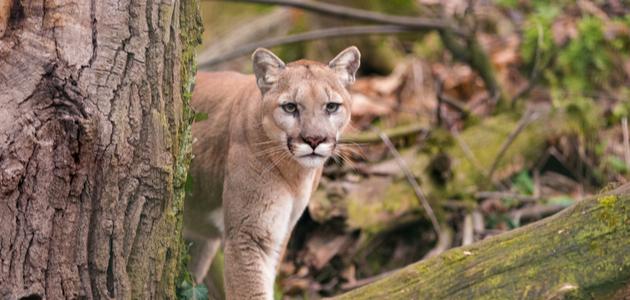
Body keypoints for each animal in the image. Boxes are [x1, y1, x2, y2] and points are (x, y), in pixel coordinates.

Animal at [185, 47, 360, 300]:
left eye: (331, 106)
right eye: (290, 107)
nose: (314, 140)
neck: (296, 174)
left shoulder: (280, 232)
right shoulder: (249, 235)